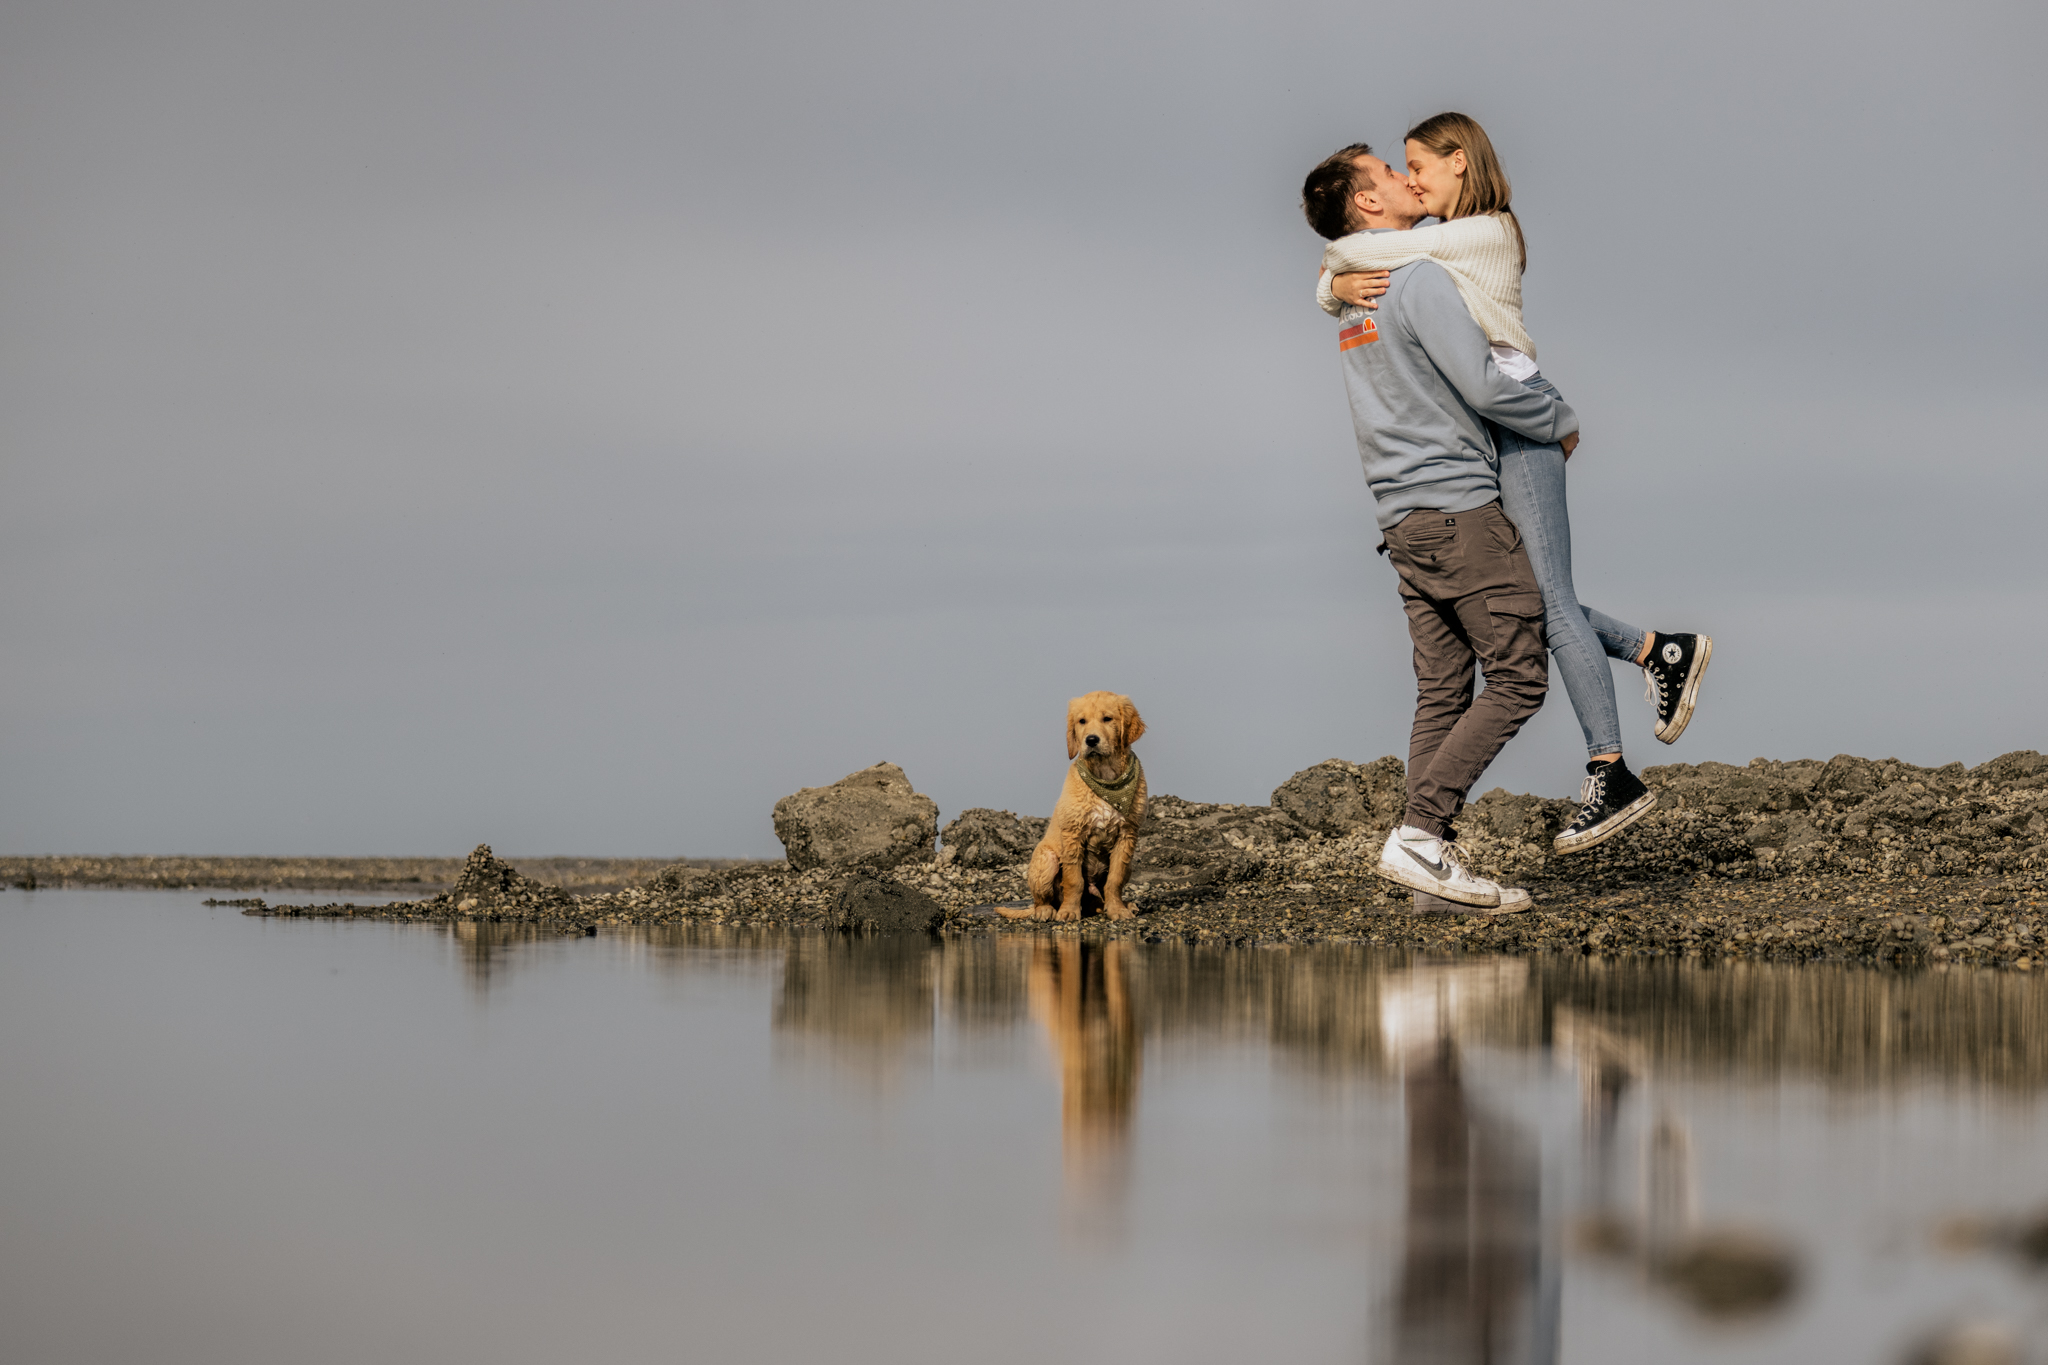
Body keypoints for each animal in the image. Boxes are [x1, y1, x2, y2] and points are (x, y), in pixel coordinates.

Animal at [999, 687, 1146, 925]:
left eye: (1107, 719)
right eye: (1081, 721)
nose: (1091, 740)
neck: (1104, 776)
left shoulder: (1127, 834)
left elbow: (1114, 880)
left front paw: (1118, 910)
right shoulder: (1073, 833)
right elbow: (1073, 880)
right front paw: (1068, 912)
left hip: (1129, 865)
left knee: (1100, 898)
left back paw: (1123, 905)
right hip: (1046, 860)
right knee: (1043, 900)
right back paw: (1046, 911)